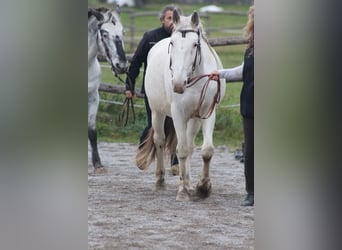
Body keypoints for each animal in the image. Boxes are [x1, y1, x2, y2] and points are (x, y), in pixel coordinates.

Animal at [136, 10, 227, 201]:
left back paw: (189, 183)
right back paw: (160, 182)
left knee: (191, 146)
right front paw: (182, 191)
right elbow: (182, 150)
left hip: (194, 119)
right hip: (157, 113)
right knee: (160, 141)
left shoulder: (207, 113)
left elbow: (206, 150)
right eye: (173, 43)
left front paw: (202, 187)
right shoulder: (178, 113)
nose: (178, 84)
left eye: (195, 44)